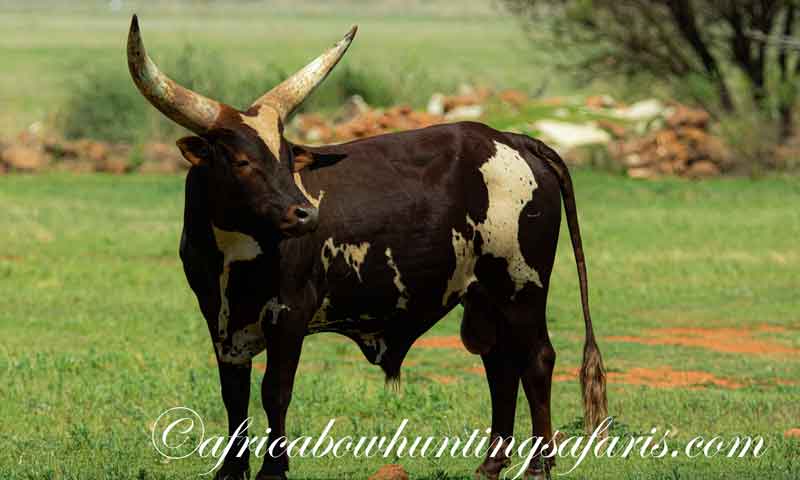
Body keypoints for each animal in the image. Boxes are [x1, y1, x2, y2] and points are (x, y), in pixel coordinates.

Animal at [127, 15, 607, 480]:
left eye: (288, 158)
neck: (234, 255)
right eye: (241, 161)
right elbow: (234, 394)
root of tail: (512, 138)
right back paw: (491, 463)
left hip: (522, 285)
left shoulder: (290, 313)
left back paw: (540, 465)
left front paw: (273, 470)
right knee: (500, 364)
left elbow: (274, 391)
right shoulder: (219, 319)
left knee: (538, 359)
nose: (305, 214)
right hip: (485, 294)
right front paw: (230, 469)